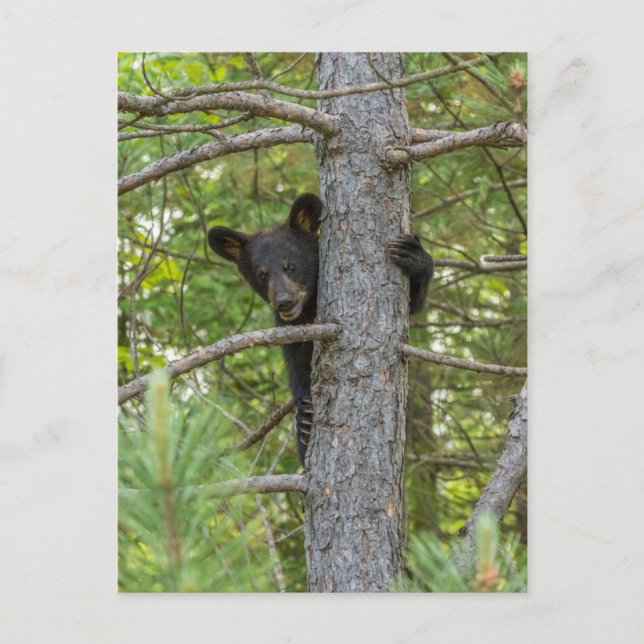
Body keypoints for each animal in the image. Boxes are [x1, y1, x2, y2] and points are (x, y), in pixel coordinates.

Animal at [208, 193, 433, 464]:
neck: (308, 306)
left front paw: (414, 256)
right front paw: (304, 418)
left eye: (291, 266)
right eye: (262, 274)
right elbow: (296, 363)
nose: (284, 301)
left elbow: (413, 302)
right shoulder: (292, 329)